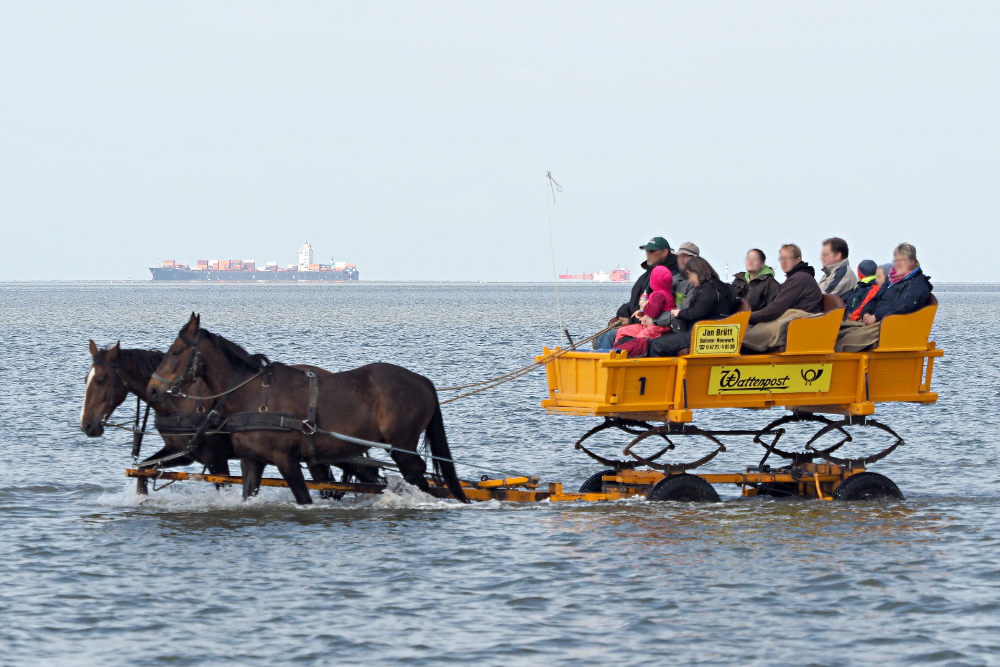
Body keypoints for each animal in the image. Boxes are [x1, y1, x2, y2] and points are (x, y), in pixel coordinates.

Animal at [146, 316, 468, 504]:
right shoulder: (252, 461)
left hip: (401, 445)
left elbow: (304, 499)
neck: (255, 396)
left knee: (417, 474)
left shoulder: (286, 460)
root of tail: (422, 381)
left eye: (175, 352)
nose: (152, 389)